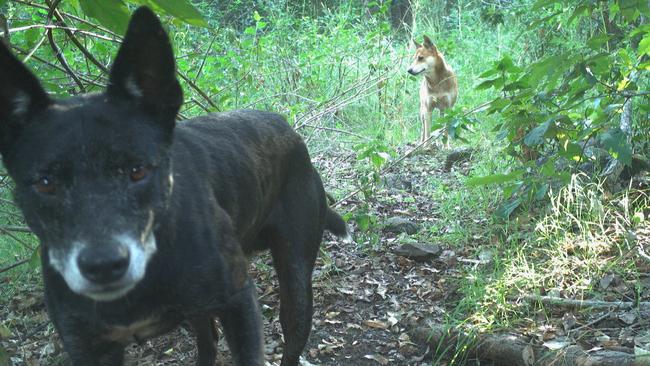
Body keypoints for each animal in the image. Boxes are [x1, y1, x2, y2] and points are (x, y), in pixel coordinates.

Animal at [0, 6, 350, 366]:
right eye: (45, 184)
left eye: (138, 170)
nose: (103, 265)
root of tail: (288, 129)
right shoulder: (88, 346)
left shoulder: (238, 303)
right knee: (208, 340)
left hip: (295, 278)